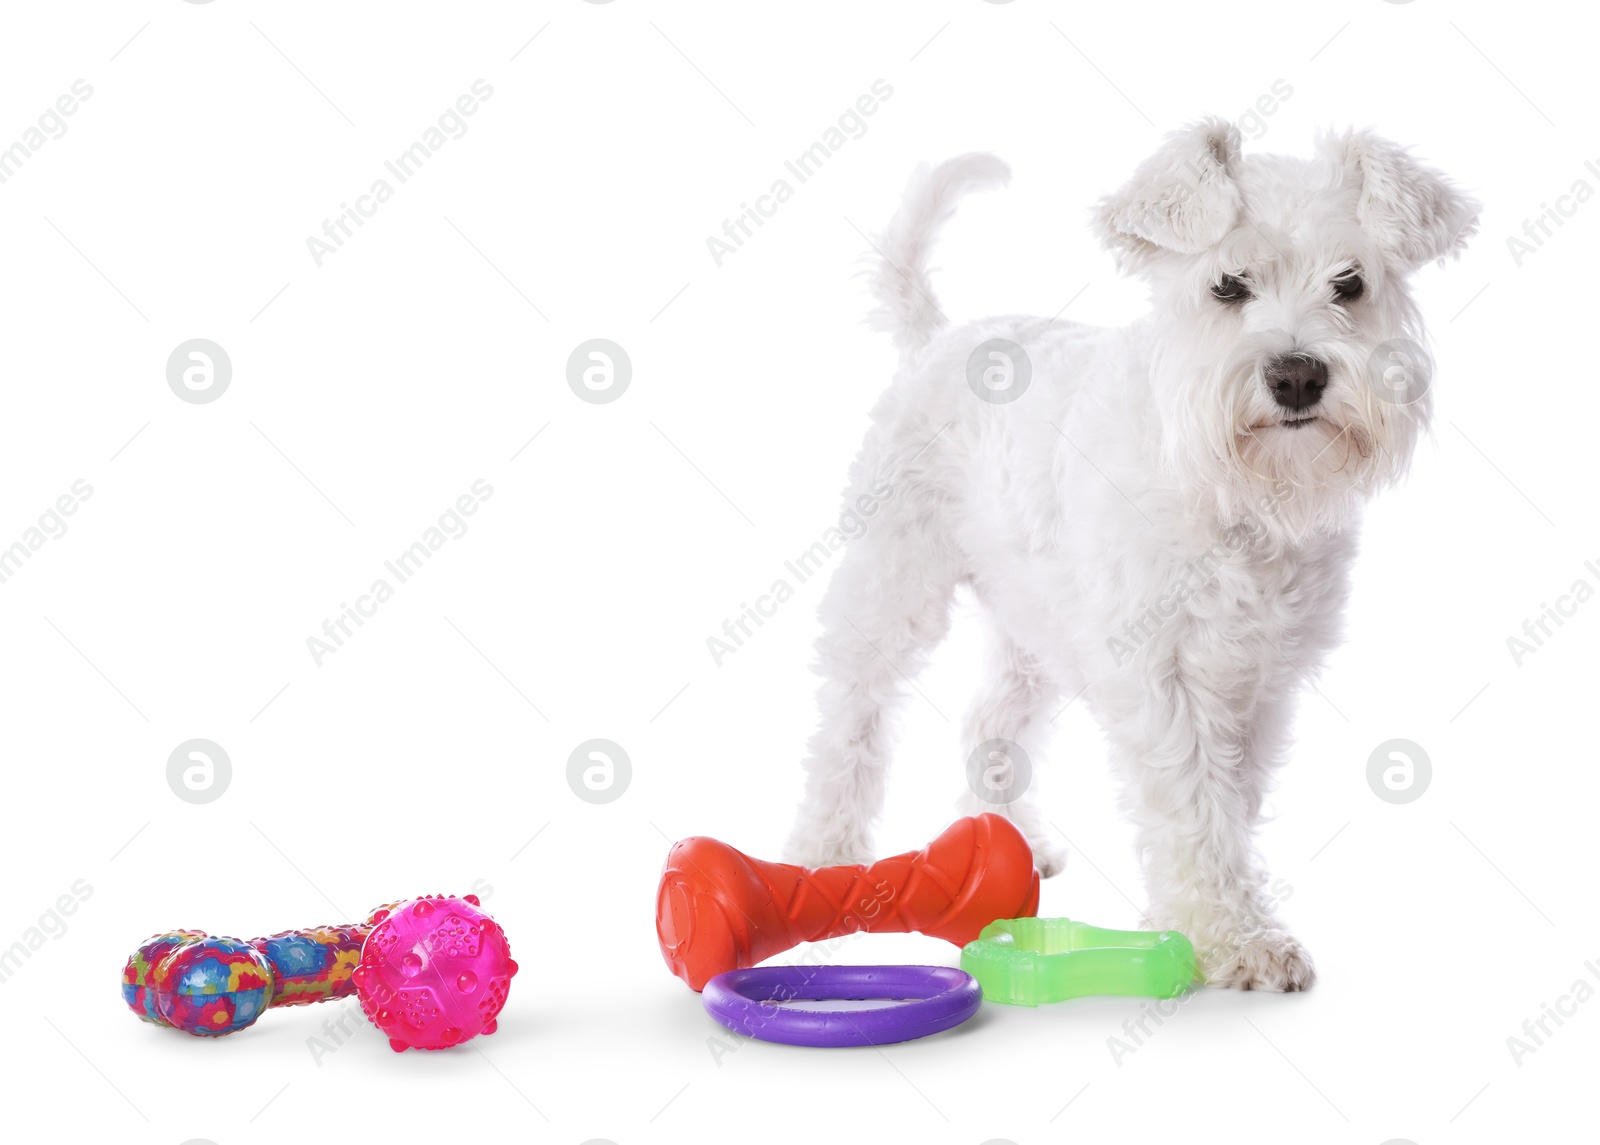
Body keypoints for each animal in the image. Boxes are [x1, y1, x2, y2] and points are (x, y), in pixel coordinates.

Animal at [784, 118, 1472, 991]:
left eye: (1349, 282)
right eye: (1227, 285)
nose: (1296, 377)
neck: (1232, 494)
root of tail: (935, 338)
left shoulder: (1259, 679)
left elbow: (1229, 803)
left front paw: (1210, 920)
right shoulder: (1158, 673)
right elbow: (1192, 805)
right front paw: (1234, 939)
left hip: (1034, 629)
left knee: (987, 718)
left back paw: (1010, 840)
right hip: (893, 585)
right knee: (850, 718)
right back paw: (824, 853)